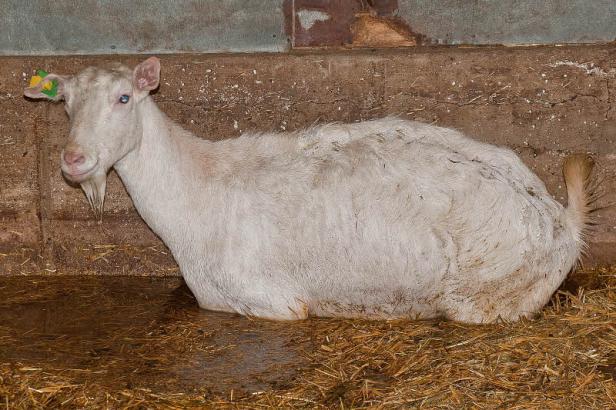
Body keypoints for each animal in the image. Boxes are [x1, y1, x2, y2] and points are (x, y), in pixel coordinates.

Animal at [25, 56, 596, 324]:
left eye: (124, 97)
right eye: (66, 103)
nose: (73, 160)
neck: (198, 186)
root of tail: (561, 221)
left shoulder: (268, 298)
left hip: (486, 295)